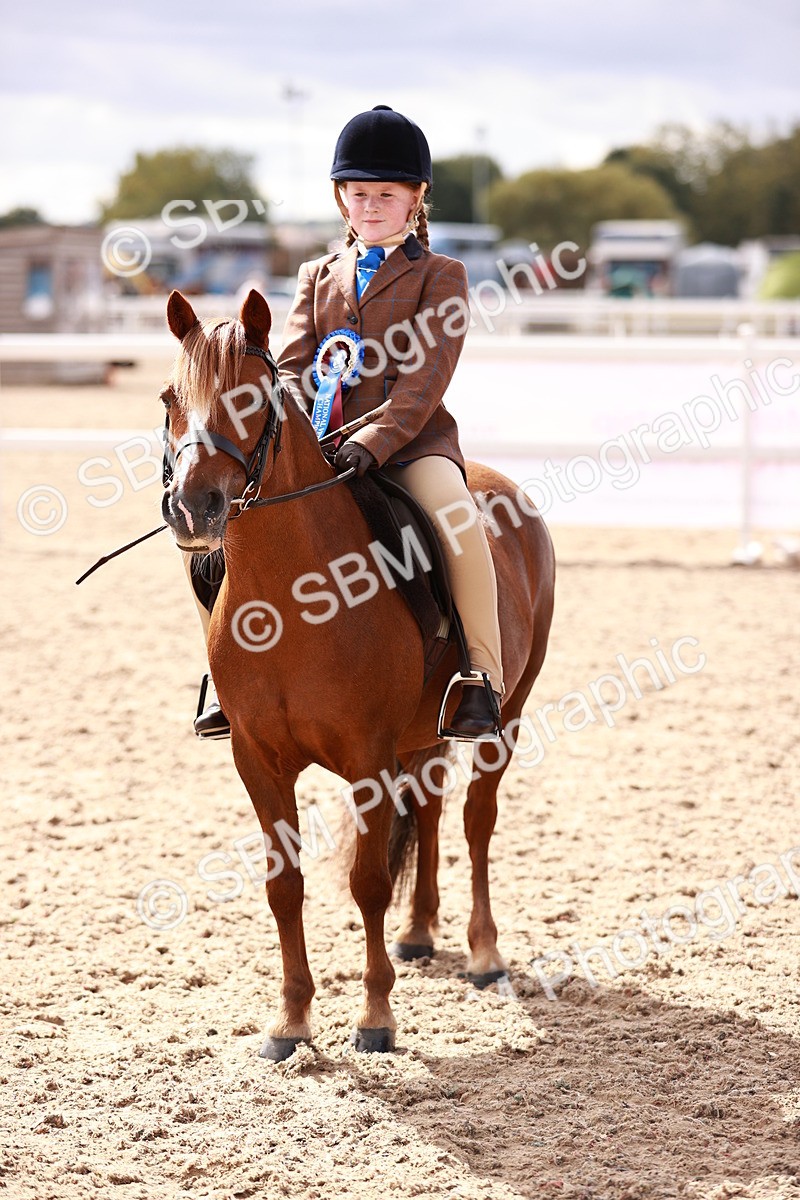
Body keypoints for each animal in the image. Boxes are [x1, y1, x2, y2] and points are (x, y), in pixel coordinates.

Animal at [160, 287, 555, 1061]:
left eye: (250, 397)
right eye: (168, 398)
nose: (193, 508)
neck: (291, 600)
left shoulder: (368, 758)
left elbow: (366, 882)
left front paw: (375, 1016)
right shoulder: (258, 759)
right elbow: (284, 886)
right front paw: (290, 1021)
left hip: (508, 714)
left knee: (476, 820)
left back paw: (484, 953)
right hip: (422, 734)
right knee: (430, 811)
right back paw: (419, 933)